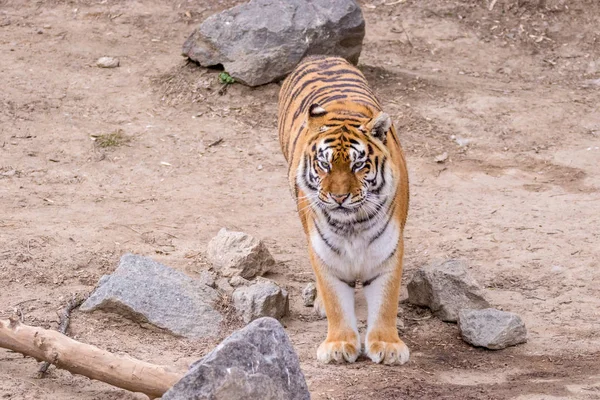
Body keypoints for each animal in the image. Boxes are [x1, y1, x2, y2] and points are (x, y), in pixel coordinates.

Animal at [278, 56, 410, 366]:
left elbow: (386, 301)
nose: (339, 197)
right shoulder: (324, 252)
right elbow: (336, 300)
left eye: (357, 165)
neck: (352, 224)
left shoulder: (388, 250)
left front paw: (387, 346)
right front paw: (339, 345)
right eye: (324, 165)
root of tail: (320, 55)